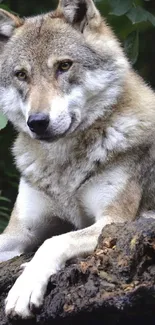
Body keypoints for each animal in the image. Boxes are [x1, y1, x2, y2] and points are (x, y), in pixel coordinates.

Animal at [0, 0, 155, 316]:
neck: (63, 165)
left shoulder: (113, 221)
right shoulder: (20, 231)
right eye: (21, 75)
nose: (37, 122)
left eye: (64, 65)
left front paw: (24, 288)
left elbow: (53, 241)